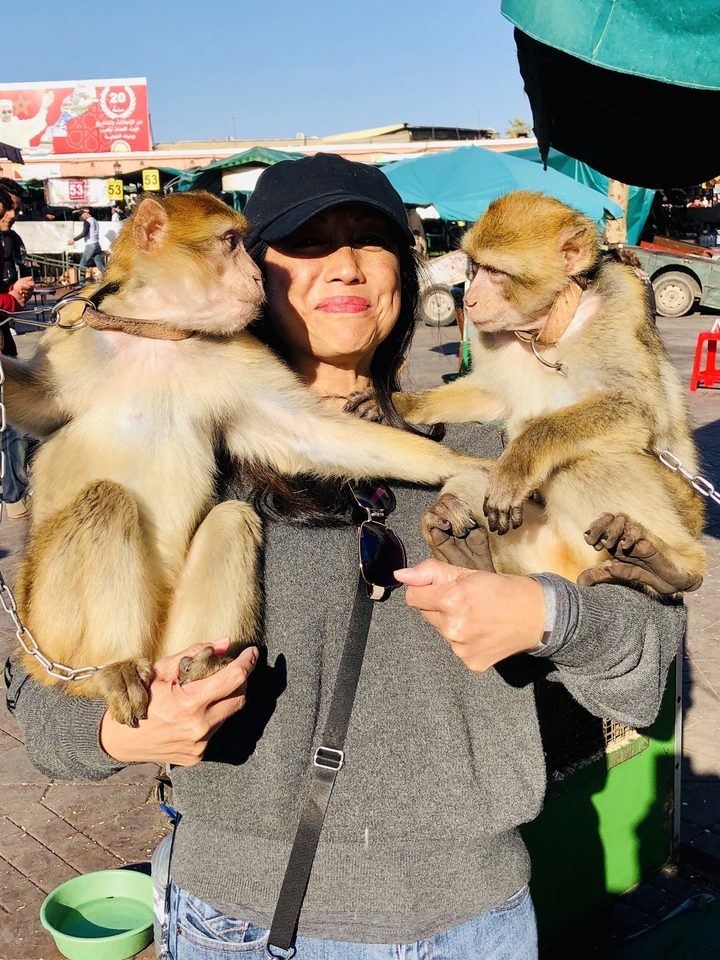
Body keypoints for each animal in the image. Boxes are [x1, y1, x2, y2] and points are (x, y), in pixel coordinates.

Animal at [0, 191, 491, 727]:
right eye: (230, 242)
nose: (256, 276)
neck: (158, 334)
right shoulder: (68, 339)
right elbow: (27, 401)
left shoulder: (236, 354)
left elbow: (306, 432)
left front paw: (465, 468)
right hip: (50, 627)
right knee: (106, 501)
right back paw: (113, 667)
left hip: (164, 633)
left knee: (233, 516)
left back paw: (208, 663)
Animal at [390, 191, 706, 594]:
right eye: (475, 268)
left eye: (495, 272)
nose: (469, 300)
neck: (545, 331)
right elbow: (492, 394)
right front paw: (401, 403)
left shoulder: (622, 306)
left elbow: (639, 410)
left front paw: (520, 459)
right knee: (469, 478)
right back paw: (469, 553)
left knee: (586, 460)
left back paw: (669, 566)